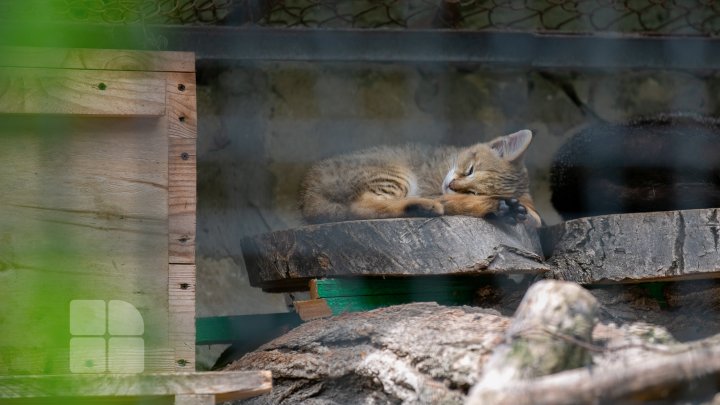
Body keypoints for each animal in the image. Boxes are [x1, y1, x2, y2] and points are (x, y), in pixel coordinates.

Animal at [298, 129, 540, 226]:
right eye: (470, 169)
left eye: (474, 191)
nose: (452, 184)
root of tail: (308, 194)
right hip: (396, 174)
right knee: (362, 206)